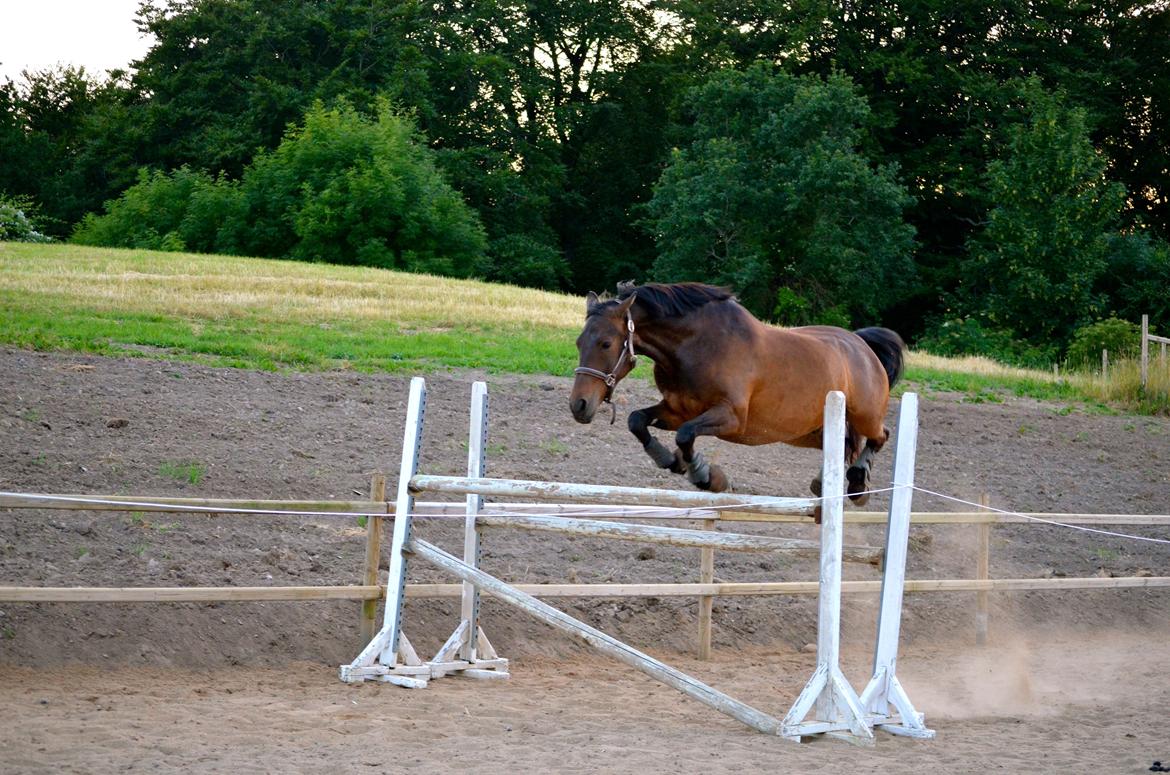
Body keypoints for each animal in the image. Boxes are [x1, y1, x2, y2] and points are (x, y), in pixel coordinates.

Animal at [570, 282, 907, 508]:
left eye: (605, 344)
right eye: (578, 342)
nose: (579, 406)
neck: (694, 347)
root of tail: (862, 345)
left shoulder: (730, 418)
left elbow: (685, 435)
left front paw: (705, 475)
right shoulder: (677, 410)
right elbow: (637, 421)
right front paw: (669, 460)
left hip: (864, 416)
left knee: (880, 436)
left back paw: (858, 483)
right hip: (808, 431)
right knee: (846, 445)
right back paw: (825, 482)